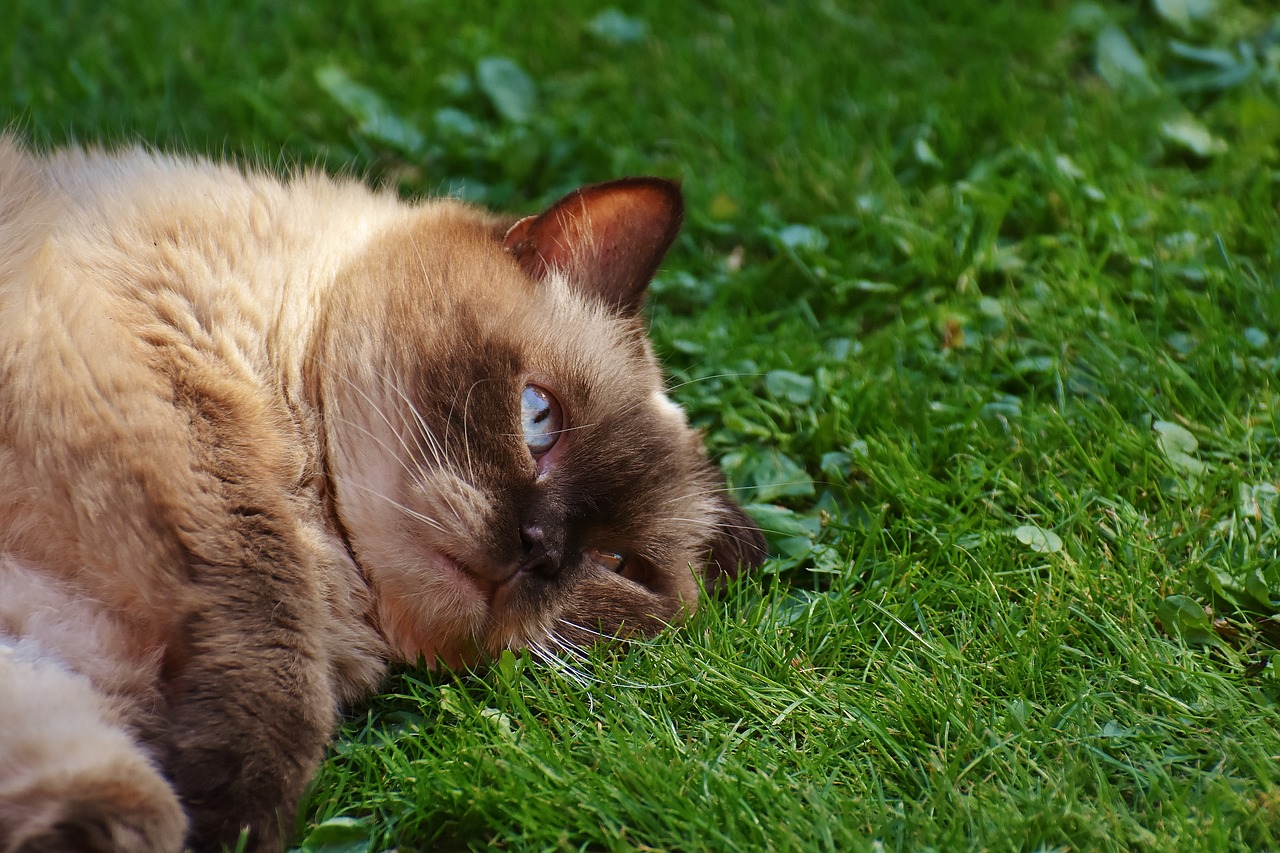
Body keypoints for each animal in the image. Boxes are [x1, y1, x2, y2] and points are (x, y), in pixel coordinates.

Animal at [0, 139, 757, 850]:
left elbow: (117, 789)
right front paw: (232, 819)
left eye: (615, 564)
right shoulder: (191, 425)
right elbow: (273, 625)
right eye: (538, 417)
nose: (536, 549)